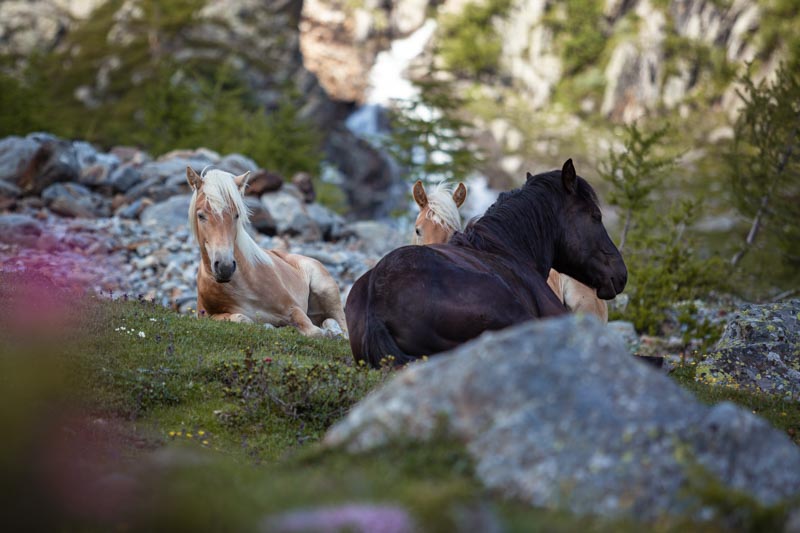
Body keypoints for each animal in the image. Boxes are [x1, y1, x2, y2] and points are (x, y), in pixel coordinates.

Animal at [189, 166, 352, 336]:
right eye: (201, 215)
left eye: (236, 215)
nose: (225, 267)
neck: (243, 281)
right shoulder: (205, 314)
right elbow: (241, 318)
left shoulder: (293, 308)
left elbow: (314, 332)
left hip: (327, 292)